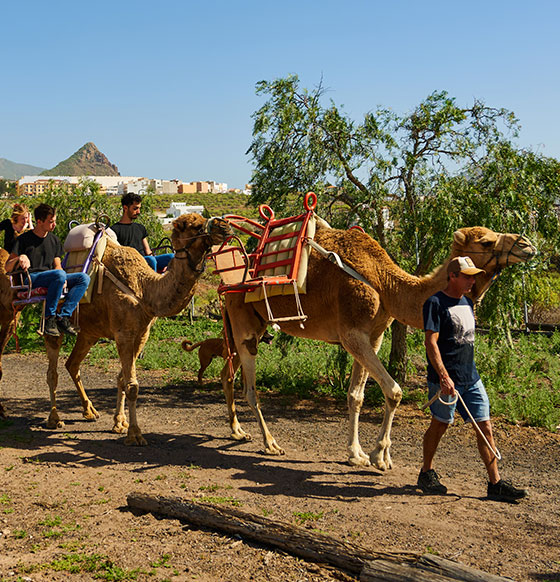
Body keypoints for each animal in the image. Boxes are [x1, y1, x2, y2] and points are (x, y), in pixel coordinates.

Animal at [0, 214, 231, 448]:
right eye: (195, 226)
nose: (225, 226)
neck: (145, 289)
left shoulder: (141, 334)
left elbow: (122, 378)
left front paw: (120, 422)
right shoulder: (123, 333)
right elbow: (132, 385)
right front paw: (135, 434)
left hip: (89, 333)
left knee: (72, 364)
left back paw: (90, 411)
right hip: (51, 319)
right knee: (52, 371)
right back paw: (54, 419)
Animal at [221, 226, 536, 472]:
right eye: (486, 242)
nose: (527, 245)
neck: (386, 284)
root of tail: (229, 283)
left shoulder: (373, 336)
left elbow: (355, 396)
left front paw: (356, 454)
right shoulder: (352, 334)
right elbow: (394, 391)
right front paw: (379, 456)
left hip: (251, 325)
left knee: (228, 373)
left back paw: (238, 431)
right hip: (245, 327)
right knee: (250, 388)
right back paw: (270, 443)